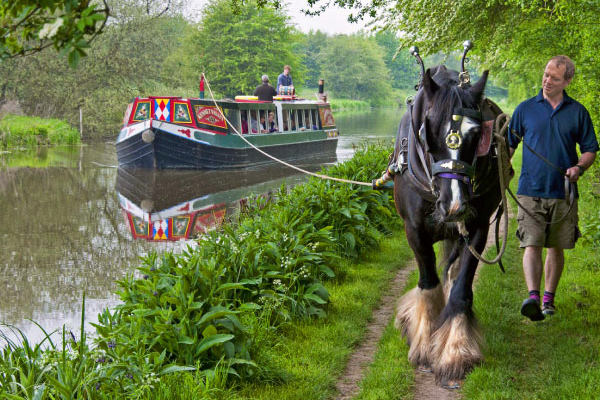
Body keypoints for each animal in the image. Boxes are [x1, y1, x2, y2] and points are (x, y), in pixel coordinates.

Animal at [392, 65, 504, 388]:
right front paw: (423, 343)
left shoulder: (477, 227)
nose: (454, 205)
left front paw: (455, 352)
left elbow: (461, 289)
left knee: (453, 274)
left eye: (477, 134)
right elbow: (429, 283)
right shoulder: (414, 230)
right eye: (427, 130)